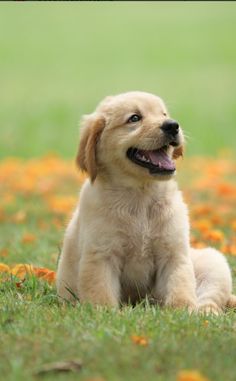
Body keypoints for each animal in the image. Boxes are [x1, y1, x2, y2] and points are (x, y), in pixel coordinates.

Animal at [56, 90, 235, 314]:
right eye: (134, 118)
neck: (140, 196)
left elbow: (180, 287)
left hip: (214, 262)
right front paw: (105, 314)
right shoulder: (101, 255)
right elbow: (101, 293)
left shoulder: (174, 254)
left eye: (164, 114)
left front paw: (183, 312)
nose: (172, 125)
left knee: (211, 298)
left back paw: (206, 313)